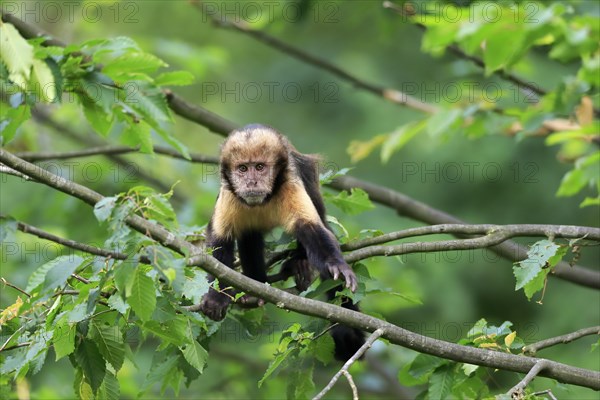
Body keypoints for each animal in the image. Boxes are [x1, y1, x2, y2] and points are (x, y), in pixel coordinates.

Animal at [200, 123, 366, 360]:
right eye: (243, 169)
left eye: (260, 167)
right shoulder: (229, 194)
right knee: (249, 235)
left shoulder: (289, 181)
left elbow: (311, 228)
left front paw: (336, 265)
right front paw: (217, 297)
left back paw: (299, 263)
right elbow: (220, 242)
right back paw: (256, 285)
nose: (251, 182)